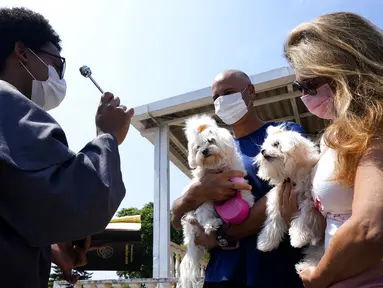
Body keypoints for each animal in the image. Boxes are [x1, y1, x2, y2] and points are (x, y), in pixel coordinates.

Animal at [178, 115, 256, 288]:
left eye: (211, 140)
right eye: (198, 147)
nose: (204, 151)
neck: (216, 166)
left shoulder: (236, 173)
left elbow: (243, 187)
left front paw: (248, 200)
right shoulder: (203, 188)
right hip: (204, 205)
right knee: (204, 216)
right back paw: (211, 224)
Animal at [255, 125, 328, 274]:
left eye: (276, 144)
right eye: (264, 146)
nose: (262, 151)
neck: (292, 176)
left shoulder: (309, 202)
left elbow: (303, 218)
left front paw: (298, 238)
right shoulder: (276, 200)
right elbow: (273, 221)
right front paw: (265, 243)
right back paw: (304, 267)